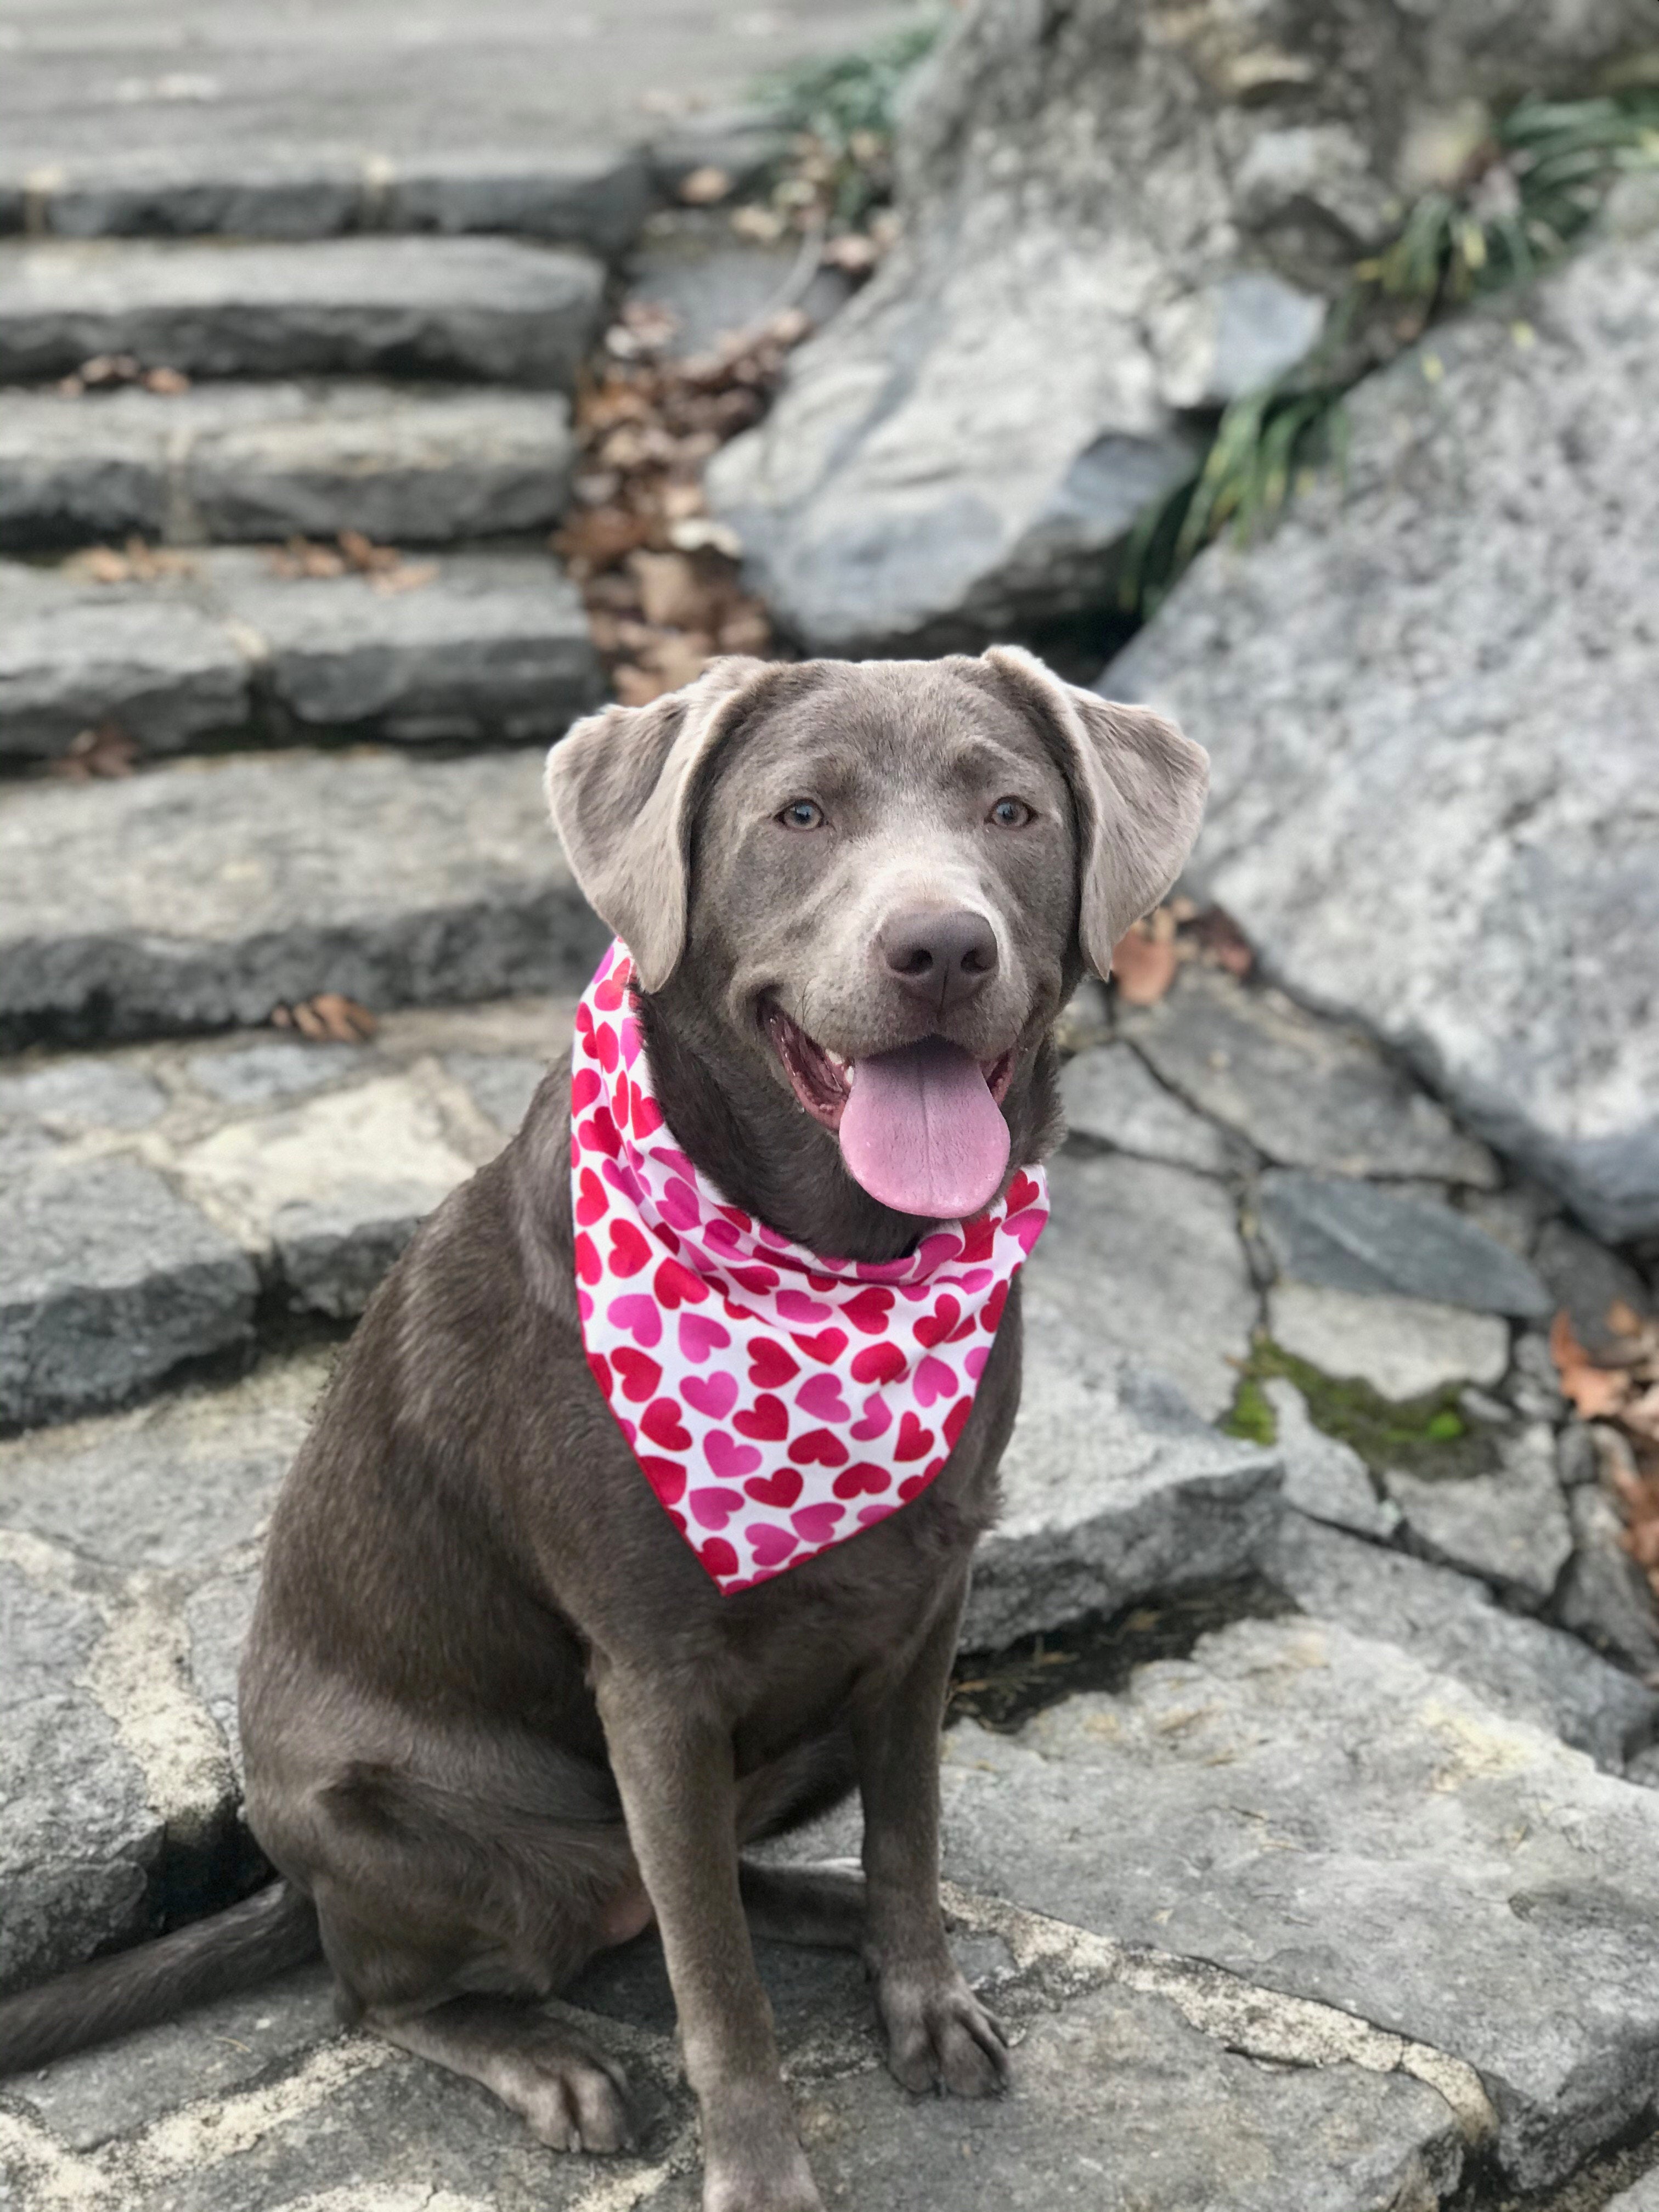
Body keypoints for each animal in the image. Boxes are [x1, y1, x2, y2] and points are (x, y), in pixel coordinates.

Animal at [0, 646, 1203, 2212]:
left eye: (1012, 812)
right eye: (800, 815)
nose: (942, 949)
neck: (835, 1266)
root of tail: (289, 1868)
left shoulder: (928, 1613)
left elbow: (910, 1838)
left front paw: (917, 1992)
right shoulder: (656, 1684)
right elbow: (717, 1990)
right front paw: (758, 2173)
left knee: (692, 1889)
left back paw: (816, 1906)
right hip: (419, 1827)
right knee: (400, 1983)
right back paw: (542, 2057)